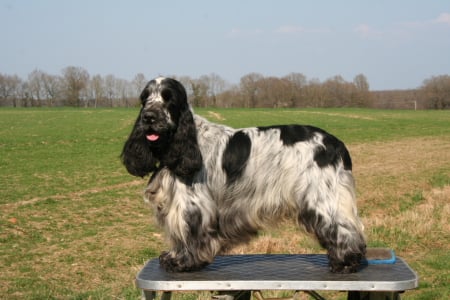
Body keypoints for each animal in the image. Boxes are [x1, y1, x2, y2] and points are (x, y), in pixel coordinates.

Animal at [122, 77, 366, 274]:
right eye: (144, 99)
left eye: (168, 98)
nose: (148, 117)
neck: (183, 141)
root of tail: (337, 144)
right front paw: (174, 257)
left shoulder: (193, 204)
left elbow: (190, 234)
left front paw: (184, 262)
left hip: (323, 197)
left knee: (345, 229)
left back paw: (345, 263)